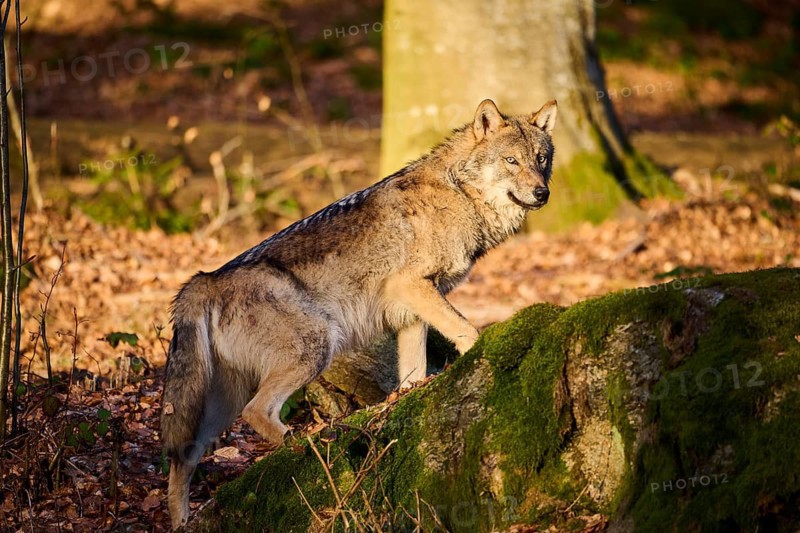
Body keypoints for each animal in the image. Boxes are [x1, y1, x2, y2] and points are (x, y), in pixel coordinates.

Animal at [161, 98, 557, 528]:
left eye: (541, 159)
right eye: (511, 160)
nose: (542, 192)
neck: (461, 193)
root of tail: (205, 280)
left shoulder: (411, 313)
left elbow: (413, 373)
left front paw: (407, 399)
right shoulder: (412, 287)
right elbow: (468, 331)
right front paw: (483, 356)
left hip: (221, 402)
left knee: (183, 458)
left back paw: (182, 522)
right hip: (314, 350)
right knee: (257, 414)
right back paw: (311, 444)